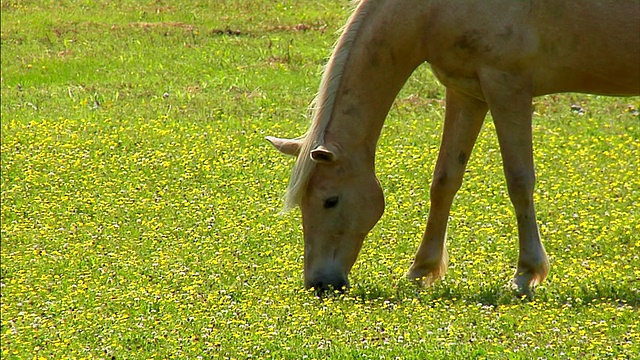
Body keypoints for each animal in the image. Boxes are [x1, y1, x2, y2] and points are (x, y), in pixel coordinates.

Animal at [266, 0, 640, 296]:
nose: (319, 283)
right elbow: (445, 180)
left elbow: (519, 181)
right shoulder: (467, 92)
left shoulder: (507, 86)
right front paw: (422, 269)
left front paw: (526, 274)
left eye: (330, 201)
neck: (433, 9)